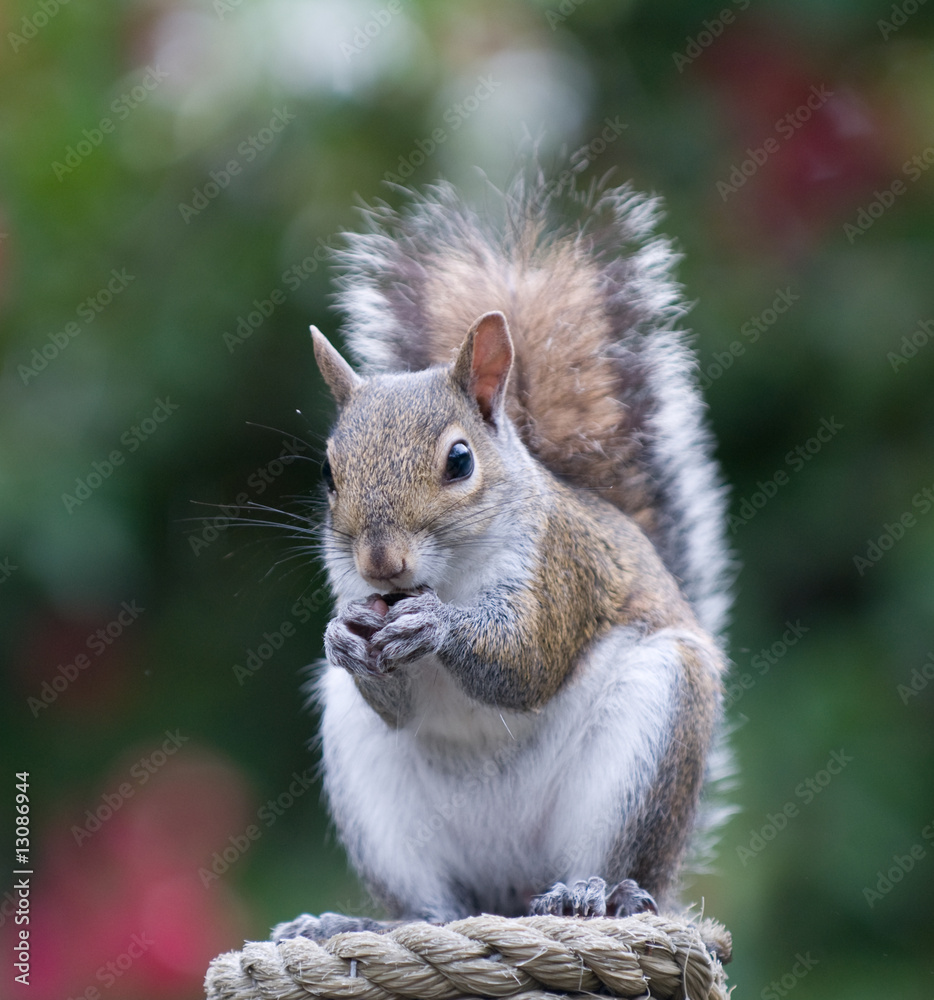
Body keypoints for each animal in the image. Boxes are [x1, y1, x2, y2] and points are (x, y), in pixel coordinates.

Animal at [273, 171, 732, 942]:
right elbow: (393, 703)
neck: (446, 576)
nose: (379, 564)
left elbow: (528, 664)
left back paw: (592, 894)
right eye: (329, 473)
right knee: (435, 906)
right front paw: (342, 634)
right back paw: (358, 924)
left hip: (648, 737)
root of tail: (512, 890)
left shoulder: (561, 570)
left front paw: (439, 627)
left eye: (460, 461)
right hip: (374, 789)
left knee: (616, 866)